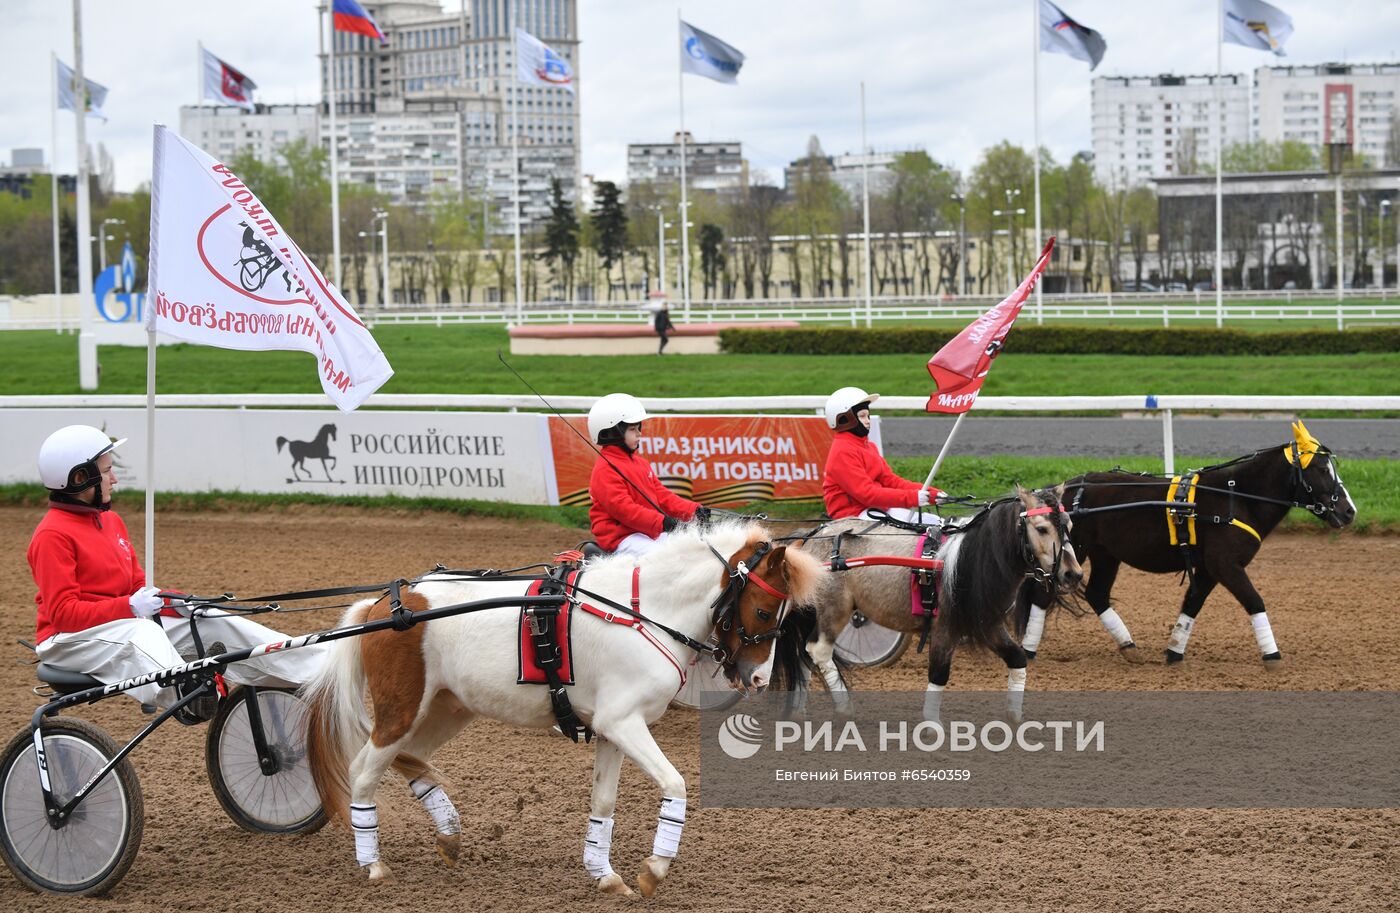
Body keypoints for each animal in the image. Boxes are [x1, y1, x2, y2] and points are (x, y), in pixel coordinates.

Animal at [298, 520, 817, 896]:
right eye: (765, 611)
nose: (758, 679)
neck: (641, 613)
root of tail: (383, 604)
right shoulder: (623, 724)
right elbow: (676, 785)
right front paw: (654, 869)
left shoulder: (612, 731)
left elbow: (603, 803)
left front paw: (605, 874)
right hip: (400, 710)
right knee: (364, 771)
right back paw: (374, 865)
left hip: (447, 709)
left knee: (415, 760)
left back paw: (448, 836)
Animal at [1019, 417, 1355, 666]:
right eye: (1321, 469)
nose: (1349, 511)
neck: (1236, 497)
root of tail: (1059, 493)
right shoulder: (1225, 564)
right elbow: (1254, 601)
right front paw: (1272, 655)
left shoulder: (1208, 568)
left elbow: (1192, 604)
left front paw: (1174, 651)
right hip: (1070, 553)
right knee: (1043, 594)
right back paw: (1028, 650)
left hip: (1106, 554)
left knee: (1098, 594)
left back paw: (1129, 646)